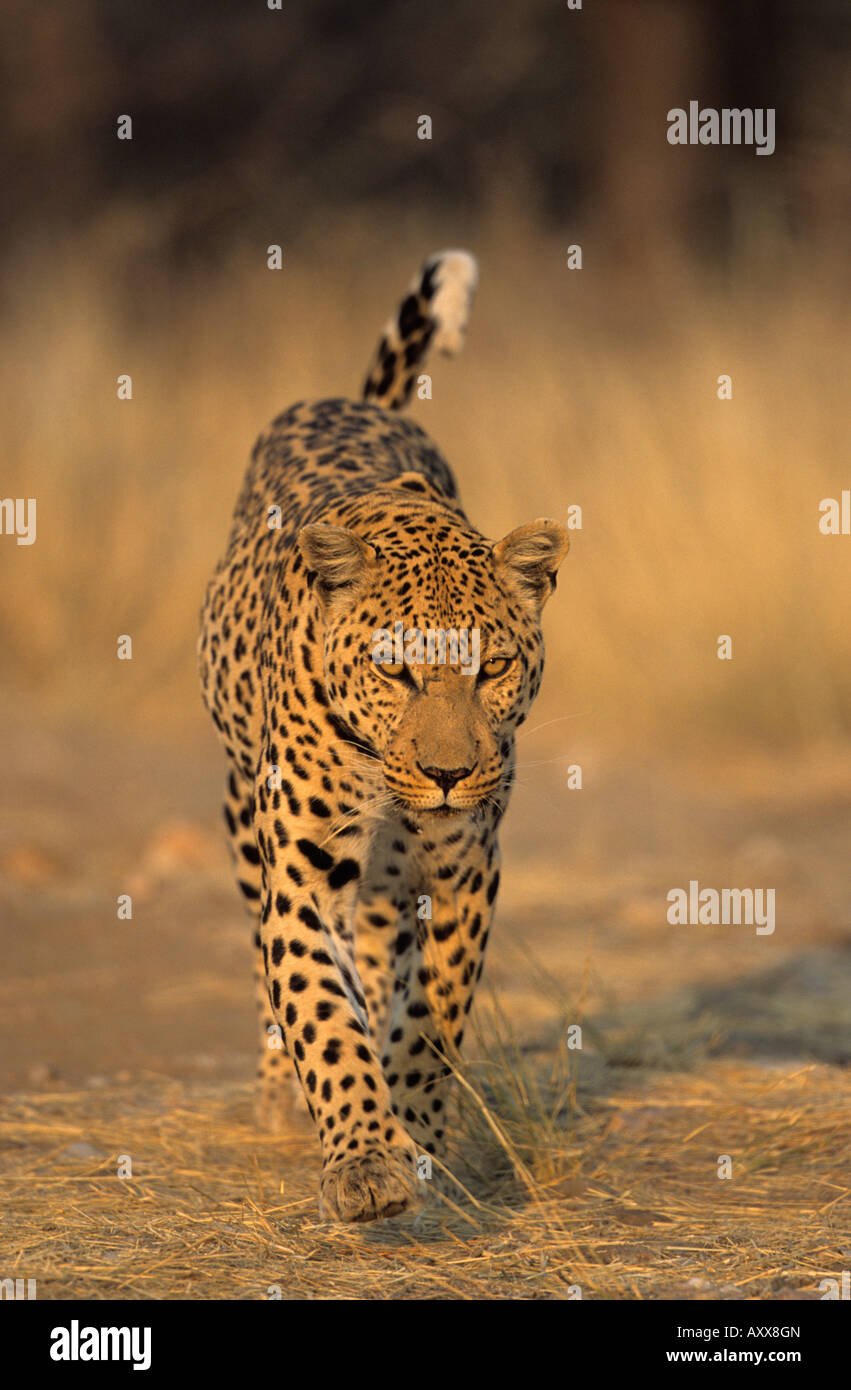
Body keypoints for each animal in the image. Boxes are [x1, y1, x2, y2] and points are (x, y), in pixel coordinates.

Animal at [198, 252, 567, 1228]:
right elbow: (322, 1015)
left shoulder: (464, 869)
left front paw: (415, 1133)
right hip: (243, 817)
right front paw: (364, 1159)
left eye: (492, 667)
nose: (446, 774)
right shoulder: (302, 867)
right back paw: (280, 1097)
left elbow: (430, 1019)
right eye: (394, 671)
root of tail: (351, 401)